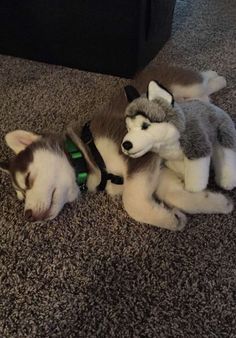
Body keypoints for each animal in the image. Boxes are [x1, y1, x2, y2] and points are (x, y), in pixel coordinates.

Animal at [0, 65, 232, 230]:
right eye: (21, 197)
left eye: (27, 179)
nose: (28, 216)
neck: (88, 155)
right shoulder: (157, 171)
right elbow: (177, 195)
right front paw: (215, 204)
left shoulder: (136, 148)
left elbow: (132, 202)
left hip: (186, 85)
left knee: (202, 82)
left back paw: (216, 78)